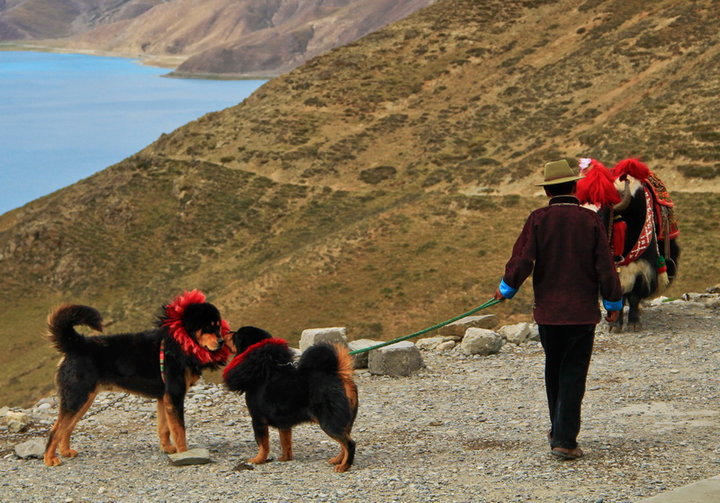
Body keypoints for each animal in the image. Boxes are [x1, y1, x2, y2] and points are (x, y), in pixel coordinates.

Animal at [43, 292, 229, 468]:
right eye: (207, 328)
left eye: (218, 327)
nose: (221, 342)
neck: (179, 342)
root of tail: (76, 344)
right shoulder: (174, 396)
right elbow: (179, 430)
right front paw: (185, 453)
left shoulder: (164, 399)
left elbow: (164, 429)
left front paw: (168, 448)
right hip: (77, 398)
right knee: (55, 429)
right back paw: (49, 459)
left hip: (83, 400)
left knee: (66, 428)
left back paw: (65, 451)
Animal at [224, 326, 358, 472]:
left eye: (236, 336)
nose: (228, 332)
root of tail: (337, 374)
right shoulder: (283, 423)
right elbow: (285, 442)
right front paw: (285, 458)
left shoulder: (258, 420)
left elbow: (263, 444)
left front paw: (258, 460)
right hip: (344, 422)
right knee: (344, 443)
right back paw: (338, 460)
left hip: (329, 422)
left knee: (349, 443)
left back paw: (344, 466)